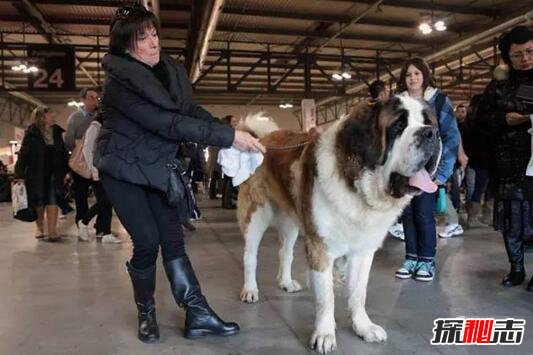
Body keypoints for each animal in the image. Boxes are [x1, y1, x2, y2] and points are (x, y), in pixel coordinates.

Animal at [237, 96, 440, 354]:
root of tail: (262, 140)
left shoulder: (363, 251)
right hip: (257, 215)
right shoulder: (320, 247)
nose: (432, 133)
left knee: (285, 252)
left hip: (292, 220)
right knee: (250, 256)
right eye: (398, 126)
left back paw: (286, 282)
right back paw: (250, 290)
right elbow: (327, 297)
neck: (357, 184)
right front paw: (324, 334)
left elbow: (359, 292)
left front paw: (363, 327)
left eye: (427, 121)